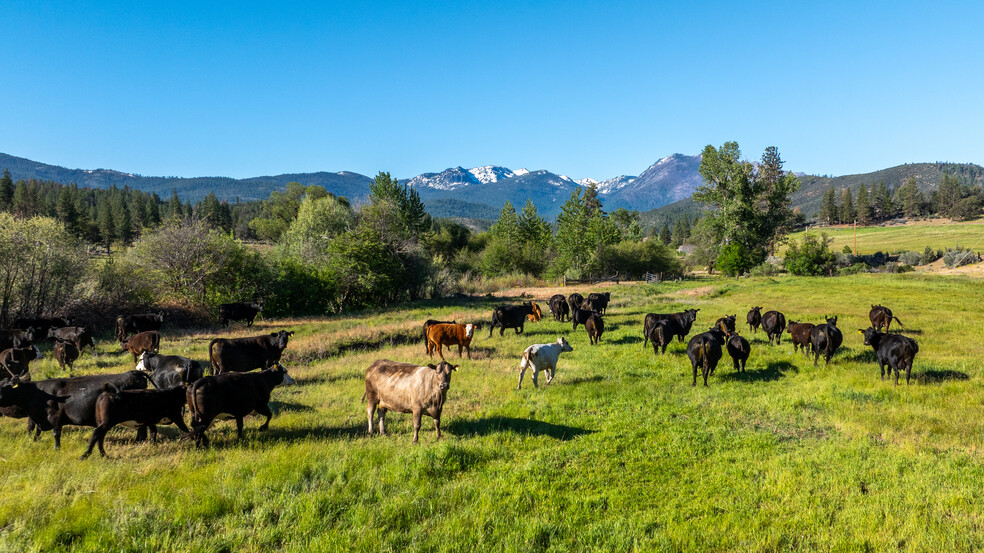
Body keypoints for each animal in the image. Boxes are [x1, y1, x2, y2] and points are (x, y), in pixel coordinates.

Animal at [0, 370, 150, 448]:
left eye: (5, 387)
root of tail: (134, 372)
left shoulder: (54, 418)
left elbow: (56, 433)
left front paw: (57, 448)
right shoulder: (38, 419)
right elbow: (36, 431)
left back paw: (139, 442)